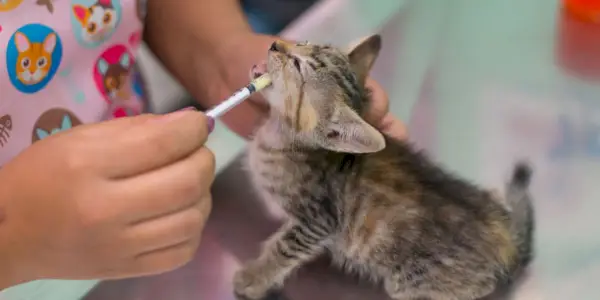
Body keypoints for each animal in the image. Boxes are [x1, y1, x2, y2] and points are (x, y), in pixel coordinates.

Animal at [234, 35, 536, 300]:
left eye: (298, 65)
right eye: (303, 42)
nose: (275, 44)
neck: (281, 137)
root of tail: (507, 242)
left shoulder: (318, 221)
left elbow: (283, 249)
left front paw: (253, 278)